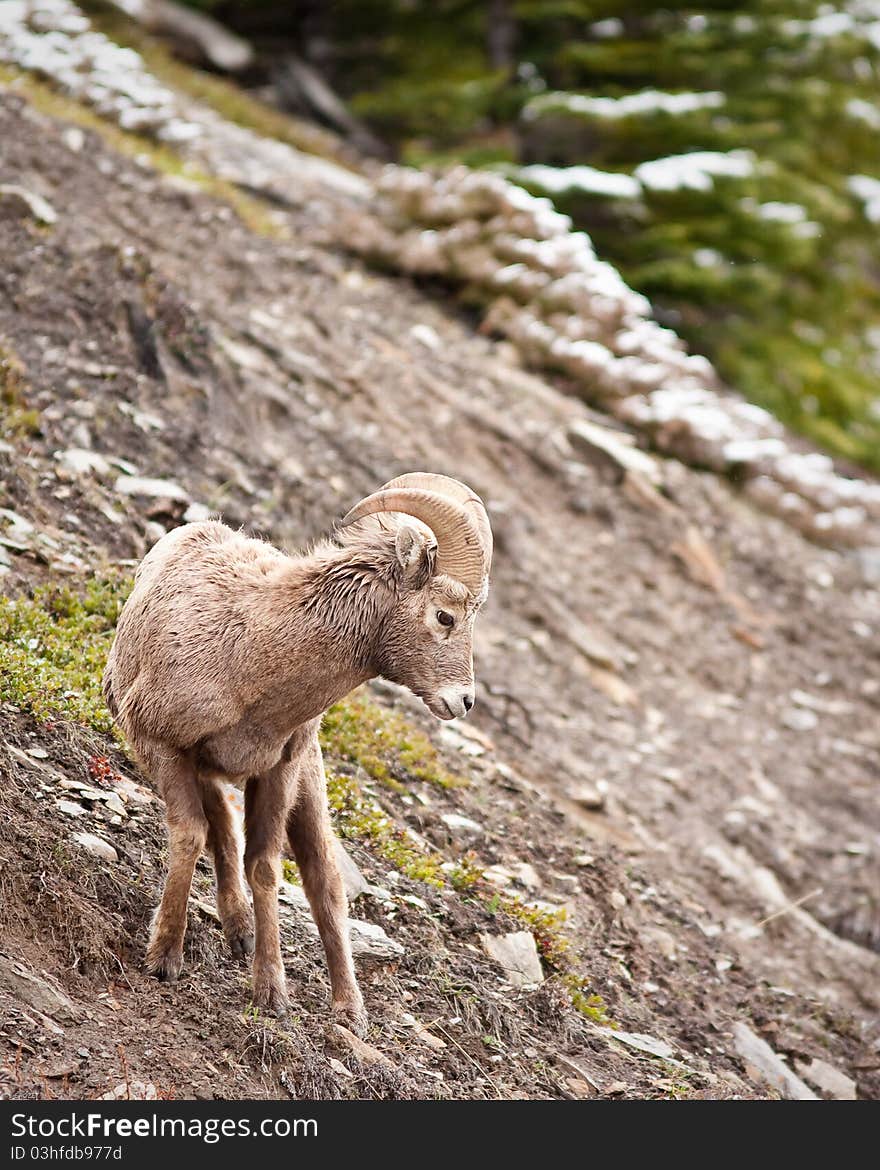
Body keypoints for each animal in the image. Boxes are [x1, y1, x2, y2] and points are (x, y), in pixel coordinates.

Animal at [102, 472, 491, 1034]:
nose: (463, 701)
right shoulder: (161, 746)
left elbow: (265, 866)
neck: (251, 655)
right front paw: (164, 958)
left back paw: (347, 1008)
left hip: (305, 785)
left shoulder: (278, 772)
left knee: (322, 878)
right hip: (210, 770)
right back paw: (238, 929)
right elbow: (191, 835)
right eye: (445, 616)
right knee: (219, 823)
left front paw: (271, 992)